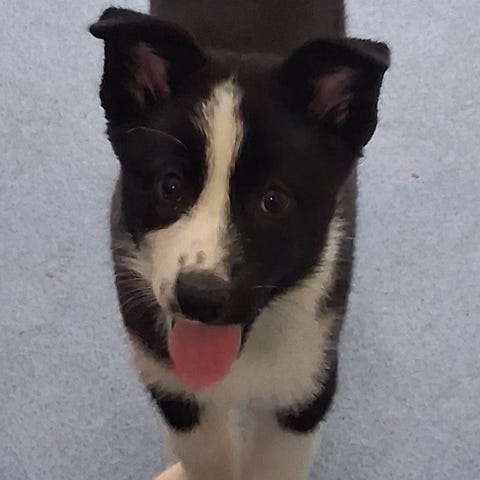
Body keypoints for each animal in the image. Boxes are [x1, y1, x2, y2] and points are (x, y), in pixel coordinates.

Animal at [90, 5, 389, 479]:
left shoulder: (305, 379)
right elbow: (207, 455)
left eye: (274, 200)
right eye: (169, 186)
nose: (199, 296)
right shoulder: (171, 383)